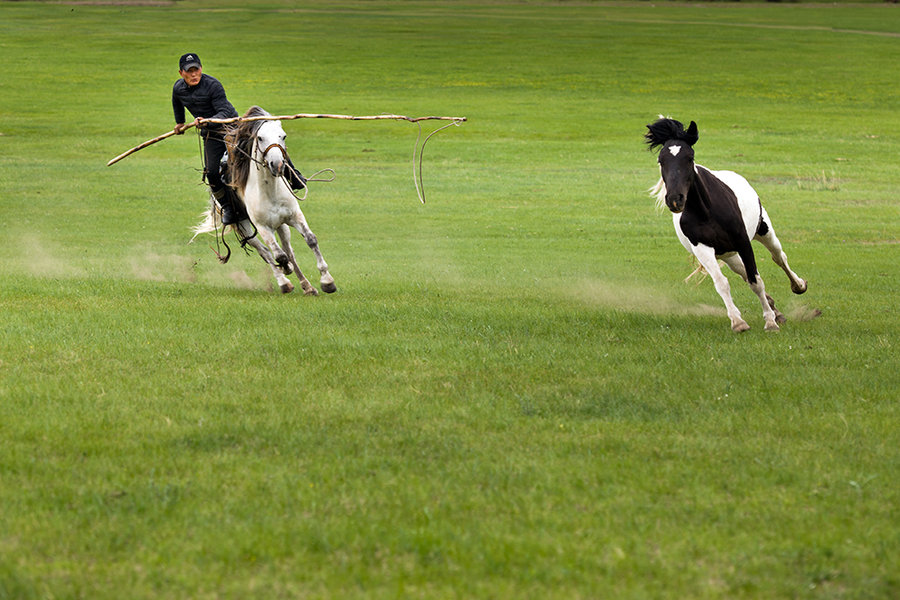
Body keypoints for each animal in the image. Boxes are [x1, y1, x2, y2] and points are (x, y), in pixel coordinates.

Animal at [194, 108, 338, 298]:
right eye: (261, 138)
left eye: (283, 136)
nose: (277, 164)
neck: (271, 191)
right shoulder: (262, 226)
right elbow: (278, 255)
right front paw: (286, 270)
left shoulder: (294, 216)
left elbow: (310, 240)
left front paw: (327, 281)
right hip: (243, 225)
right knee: (266, 252)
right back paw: (284, 282)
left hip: (281, 225)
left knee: (288, 250)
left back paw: (307, 286)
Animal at [648, 117, 808, 332]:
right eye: (661, 160)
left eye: (690, 157)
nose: (675, 199)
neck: (706, 212)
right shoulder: (703, 249)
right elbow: (722, 283)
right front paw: (738, 322)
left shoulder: (743, 241)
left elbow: (756, 281)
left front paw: (770, 322)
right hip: (728, 254)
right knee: (743, 272)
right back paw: (776, 310)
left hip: (763, 230)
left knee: (779, 257)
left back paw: (798, 286)